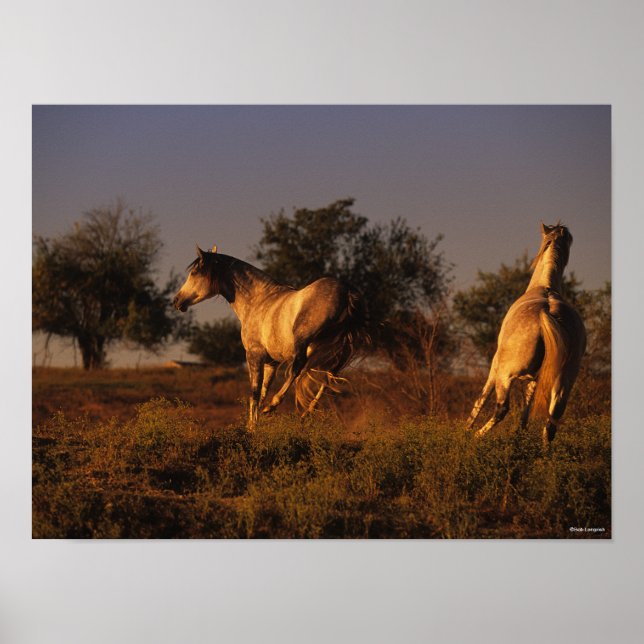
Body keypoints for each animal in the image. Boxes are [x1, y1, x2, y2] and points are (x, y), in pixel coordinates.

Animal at [173, 245, 368, 429]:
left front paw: (252, 428)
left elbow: (254, 393)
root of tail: (347, 292)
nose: (176, 301)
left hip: (304, 341)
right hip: (334, 351)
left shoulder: (254, 355)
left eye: (194, 272)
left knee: (298, 368)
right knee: (328, 376)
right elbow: (262, 392)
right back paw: (307, 412)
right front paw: (254, 425)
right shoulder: (271, 362)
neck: (258, 299)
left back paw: (275, 406)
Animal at [466, 223, 586, 448]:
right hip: (563, 383)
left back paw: (477, 436)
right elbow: (527, 407)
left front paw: (466, 429)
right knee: (552, 421)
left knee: (501, 409)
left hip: (505, 375)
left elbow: (482, 397)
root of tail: (547, 311)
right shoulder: (536, 379)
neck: (544, 287)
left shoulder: (495, 365)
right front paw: (519, 434)